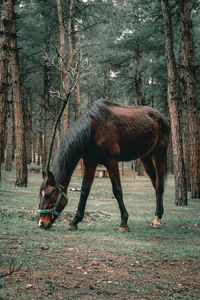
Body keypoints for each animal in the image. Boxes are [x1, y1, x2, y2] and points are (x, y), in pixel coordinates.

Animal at [37, 99, 169, 231]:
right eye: (40, 194)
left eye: (48, 195)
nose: (41, 223)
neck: (93, 129)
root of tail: (162, 117)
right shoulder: (89, 162)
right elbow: (84, 191)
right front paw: (74, 222)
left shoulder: (111, 161)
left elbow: (117, 190)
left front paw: (124, 223)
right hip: (146, 157)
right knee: (155, 183)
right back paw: (160, 213)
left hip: (159, 153)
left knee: (159, 184)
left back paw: (157, 219)